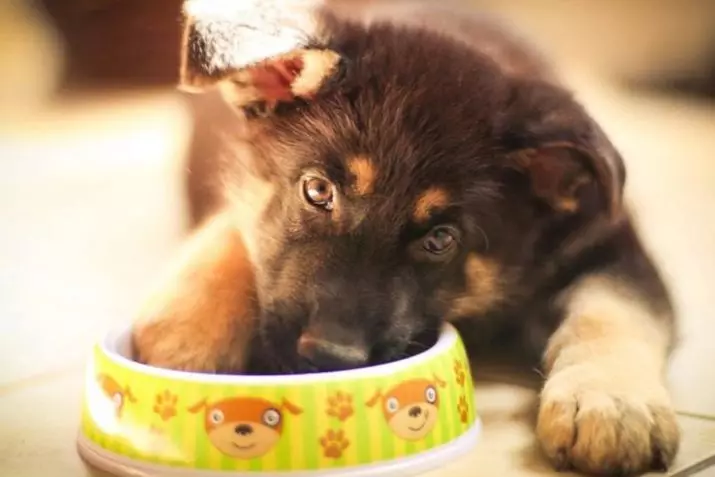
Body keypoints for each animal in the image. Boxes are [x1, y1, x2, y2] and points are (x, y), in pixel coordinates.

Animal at [130, 0, 684, 472]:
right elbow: (236, 227)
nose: (330, 358)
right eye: (317, 191)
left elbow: (610, 311)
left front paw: (611, 402)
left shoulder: (610, 244)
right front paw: (188, 326)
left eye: (440, 239)